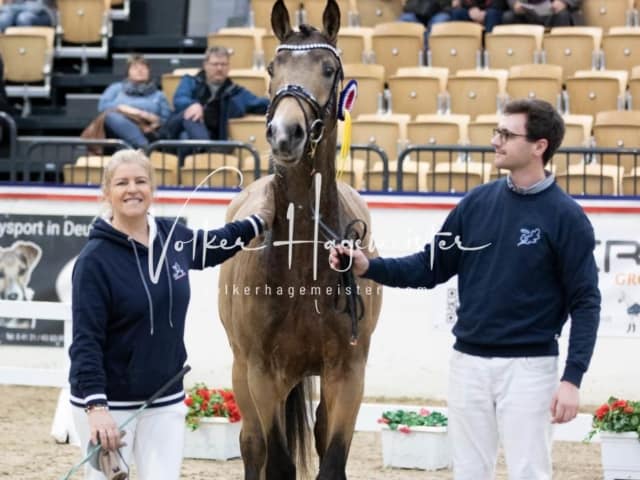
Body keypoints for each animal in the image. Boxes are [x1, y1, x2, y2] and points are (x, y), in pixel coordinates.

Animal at [218, 1, 382, 478]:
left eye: (328, 69)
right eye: (273, 68)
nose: (284, 134)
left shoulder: (348, 373)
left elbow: (333, 459)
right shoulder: (263, 375)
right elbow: (278, 461)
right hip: (242, 371)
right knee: (252, 445)